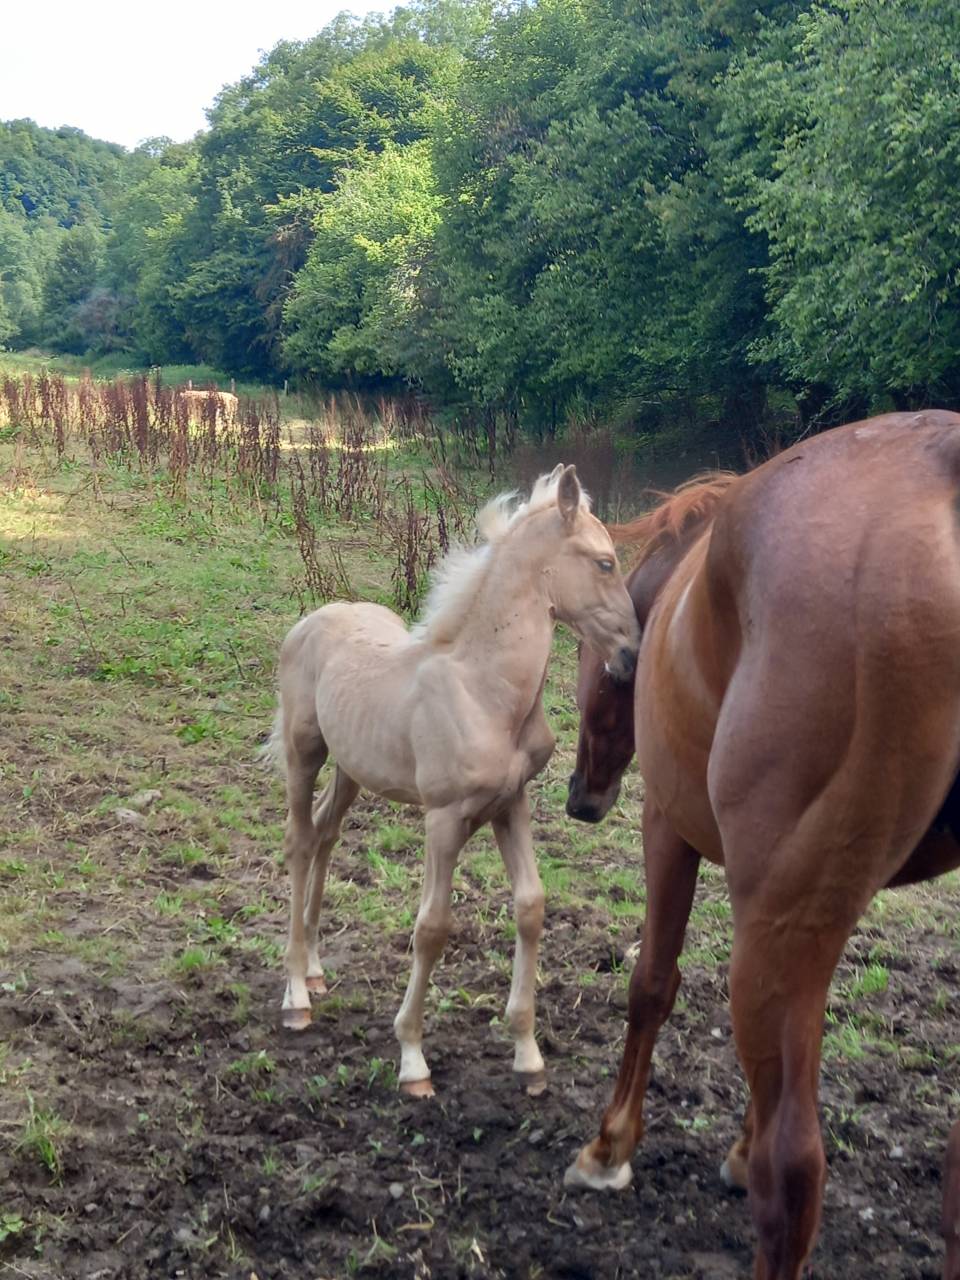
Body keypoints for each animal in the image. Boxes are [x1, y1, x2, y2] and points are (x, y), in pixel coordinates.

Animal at [263, 465, 640, 1097]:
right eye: (605, 562)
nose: (632, 655)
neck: (487, 692)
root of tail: (315, 618)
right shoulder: (443, 818)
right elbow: (433, 927)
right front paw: (413, 1059)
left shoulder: (511, 804)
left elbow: (531, 906)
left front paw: (528, 1055)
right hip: (305, 749)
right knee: (297, 840)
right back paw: (294, 997)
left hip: (352, 767)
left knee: (323, 835)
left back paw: (314, 970)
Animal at [562, 411, 960, 1280]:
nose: (581, 799)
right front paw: (737, 1150)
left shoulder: (669, 833)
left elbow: (652, 984)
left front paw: (610, 1149)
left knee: (797, 1171)